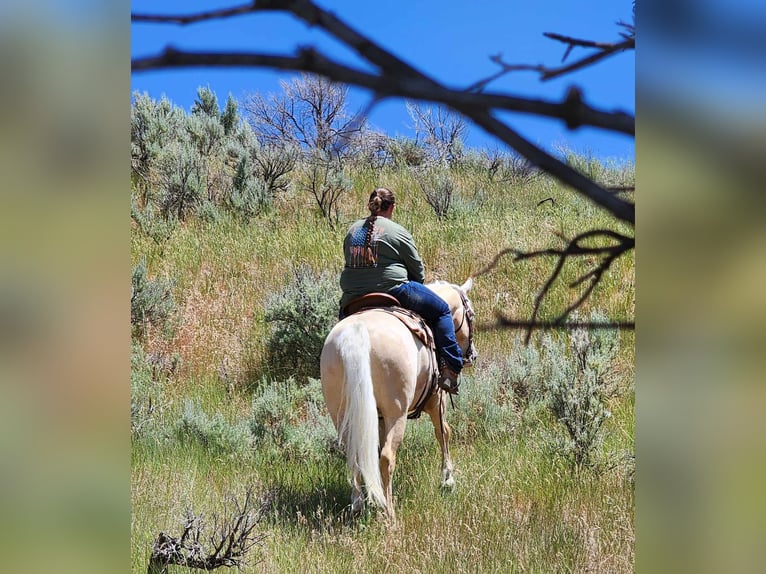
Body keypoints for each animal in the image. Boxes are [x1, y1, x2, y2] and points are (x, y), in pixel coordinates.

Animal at [316, 280, 474, 520]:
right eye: (471, 314)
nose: (472, 355)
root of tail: (356, 334)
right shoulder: (437, 399)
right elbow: (443, 432)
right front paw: (448, 479)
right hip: (396, 413)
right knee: (387, 457)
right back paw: (389, 512)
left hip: (342, 413)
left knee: (354, 453)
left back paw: (358, 504)